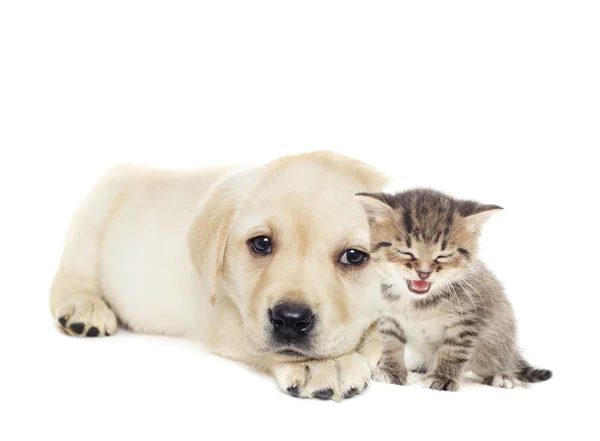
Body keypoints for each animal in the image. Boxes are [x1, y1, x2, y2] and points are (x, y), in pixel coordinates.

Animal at [51, 150, 390, 398]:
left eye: (354, 256)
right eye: (261, 243)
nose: (290, 320)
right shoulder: (224, 315)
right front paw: (325, 364)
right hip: (92, 222)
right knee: (70, 277)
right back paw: (85, 309)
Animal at [356, 187, 552, 390]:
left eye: (443, 256)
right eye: (406, 252)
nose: (424, 273)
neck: (419, 302)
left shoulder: (467, 321)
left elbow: (453, 350)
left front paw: (443, 377)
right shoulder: (388, 316)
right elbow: (391, 343)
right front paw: (390, 370)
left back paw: (502, 375)